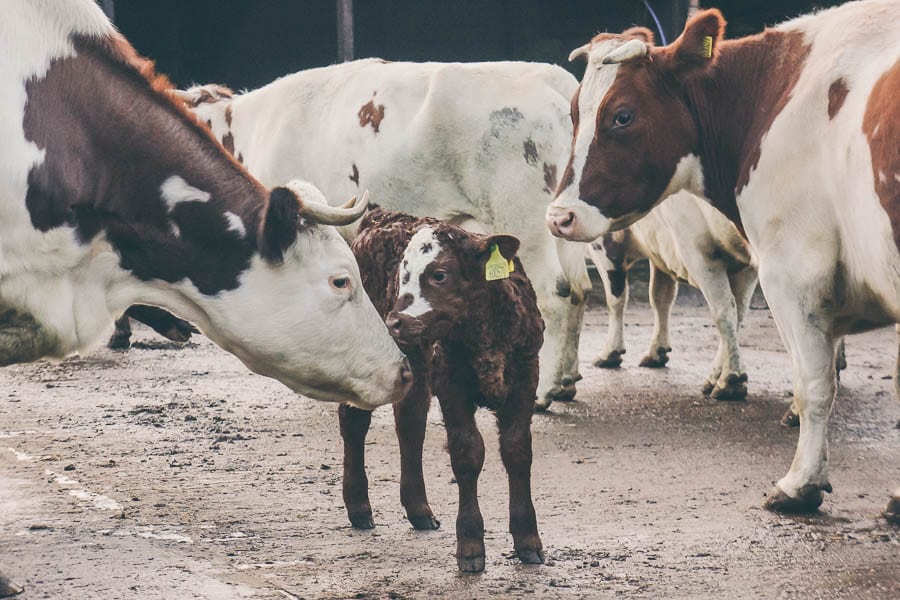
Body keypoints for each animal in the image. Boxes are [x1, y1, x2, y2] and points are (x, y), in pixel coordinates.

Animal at [544, 2, 900, 516]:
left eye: (622, 116)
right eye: (574, 113)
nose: (559, 216)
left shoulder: (792, 268)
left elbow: (809, 379)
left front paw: (800, 483)